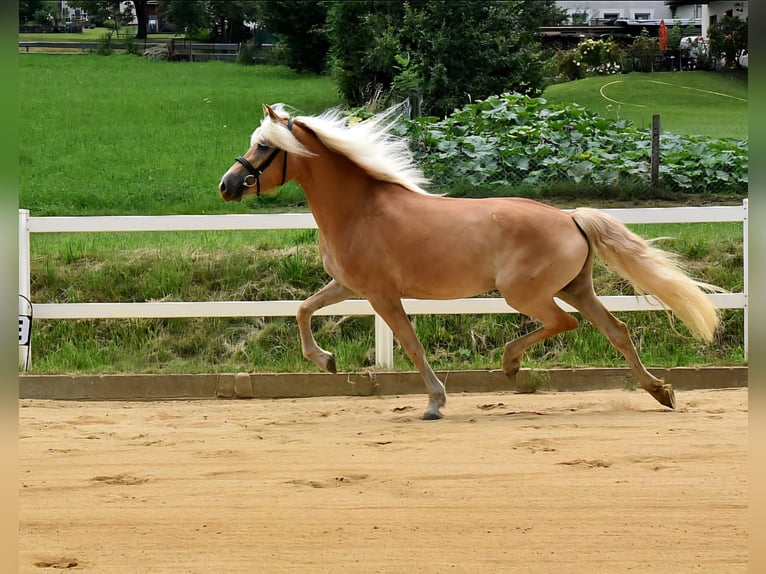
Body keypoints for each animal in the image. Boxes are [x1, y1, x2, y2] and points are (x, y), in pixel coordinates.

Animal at [219, 103, 724, 420]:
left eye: (264, 146)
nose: (227, 185)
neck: (359, 210)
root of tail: (571, 217)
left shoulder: (382, 295)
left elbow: (411, 345)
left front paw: (435, 403)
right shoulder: (348, 287)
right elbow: (302, 309)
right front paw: (325, 361)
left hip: (526, 294)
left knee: (566, 324)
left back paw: (511, 364)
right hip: (576, 287)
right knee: (615, 330)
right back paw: (660, 391)